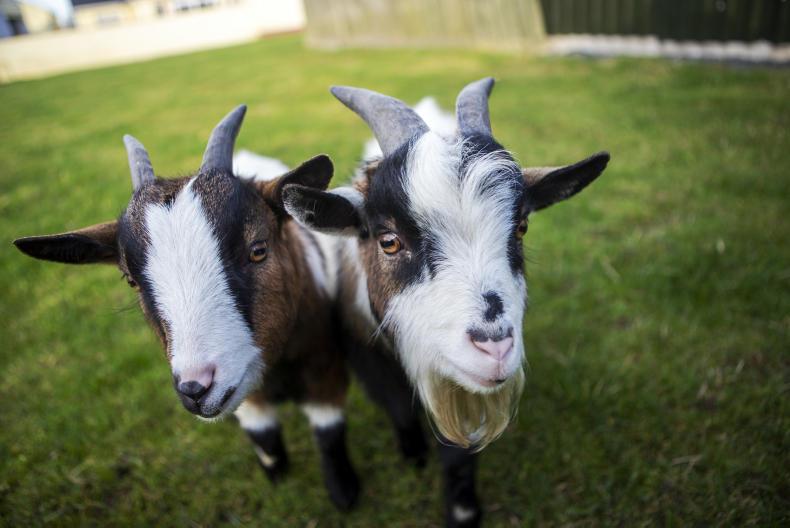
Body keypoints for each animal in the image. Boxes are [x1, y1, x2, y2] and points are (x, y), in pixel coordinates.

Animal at [13, 105, 360, 510]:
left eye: (258, 249)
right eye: (131, 280)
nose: (196, 388)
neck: (276, 373)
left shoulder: (326, 370)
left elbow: (329, 433)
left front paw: (344, 494)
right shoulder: (248, 397)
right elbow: (265, 438)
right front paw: (278, 477)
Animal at [282, 78, 610, 527]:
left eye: (521, 227)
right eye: (389, 241)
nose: (495, 349)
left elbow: (459, 450)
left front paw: (463, 509)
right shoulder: (366, 355)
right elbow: (399, 408)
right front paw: (413, 456)